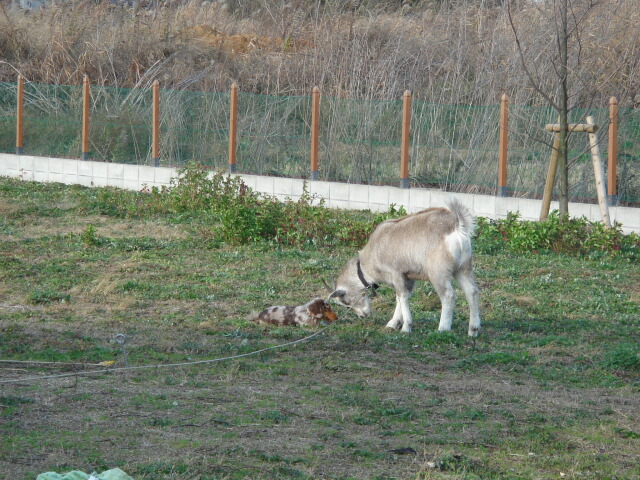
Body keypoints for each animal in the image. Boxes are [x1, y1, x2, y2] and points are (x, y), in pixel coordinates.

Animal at [330, 197, 480, 336]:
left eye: (345, 301)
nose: (363, 316)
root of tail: (457, 225)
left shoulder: (395, 273)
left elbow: (402, 296)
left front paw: (406, 327)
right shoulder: (408, 276)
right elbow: (402, 297)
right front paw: (394, 323)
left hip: (438, 272)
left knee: (448, 295)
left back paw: (442, 328)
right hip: (463, 267)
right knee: (471, 292)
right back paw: (473, 330)